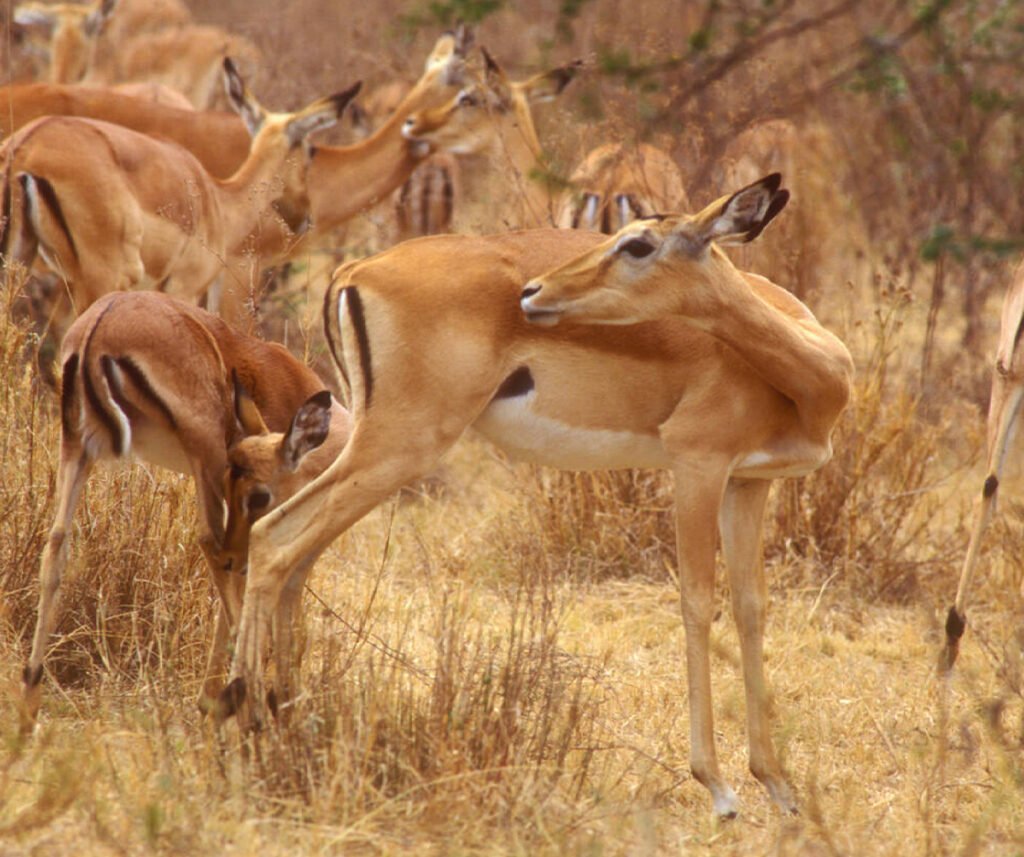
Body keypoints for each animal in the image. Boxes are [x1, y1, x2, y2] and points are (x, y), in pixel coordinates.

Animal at [0, 59, 359, 334]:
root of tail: (26, 146)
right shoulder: (183, 288)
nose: (306, 216)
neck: (218, 199)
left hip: (18, 259)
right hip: (102, 279)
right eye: (310, 151)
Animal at [19, 290, 348, 731]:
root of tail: (98, 327)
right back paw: (245, 700)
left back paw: (29, 706)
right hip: (202, 450)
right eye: (255, 495)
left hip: (78, 447)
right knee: (211, 544)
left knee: (56, 545)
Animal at [217, 174, 854, 818]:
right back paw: (247, 720)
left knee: (296, 559)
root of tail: (355, 270)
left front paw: (778, 784)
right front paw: (719, 787)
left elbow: (752, 608)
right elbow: (698, 603)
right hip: (396, 447)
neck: (807, 375)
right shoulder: (697, 466)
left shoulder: (750, 483)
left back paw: (287, 720)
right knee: (275, 539)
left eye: (639, 243)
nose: (535, 292)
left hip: (353, 448)